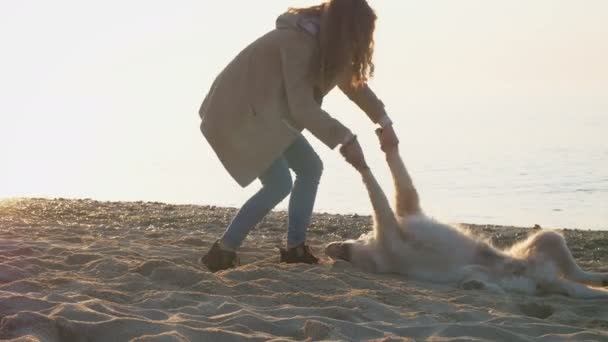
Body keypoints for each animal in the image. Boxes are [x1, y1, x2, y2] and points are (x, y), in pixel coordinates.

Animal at [328, 130, 608, 298]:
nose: (331, 247)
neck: (371, 247)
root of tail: (538, 274)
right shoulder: (389, 229)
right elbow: (376, 191)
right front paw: (357, 157)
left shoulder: (404, 211)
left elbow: (400, 182)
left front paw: (386, 142)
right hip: (519, 266)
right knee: (498, 285)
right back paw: (477, 285)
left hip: (548, 238)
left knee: (578, 273)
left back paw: (601, 277)